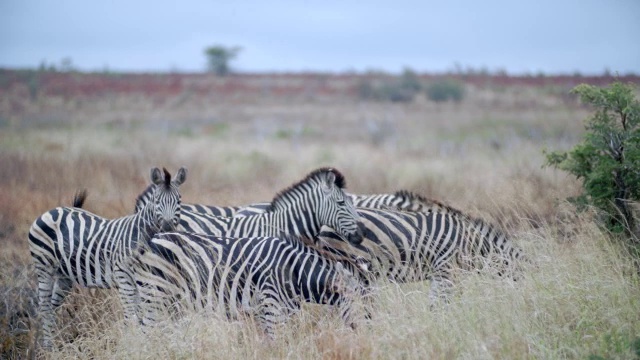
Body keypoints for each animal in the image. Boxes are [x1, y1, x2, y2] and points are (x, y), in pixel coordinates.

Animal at [28, 167, 188, 348]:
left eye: (179, 200)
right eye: (157, 201)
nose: (167, 227)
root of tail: (53, 210)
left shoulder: (145, 280)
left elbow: (142, 315)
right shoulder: (123, 276)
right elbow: (131, 317)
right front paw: (132, 344)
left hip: (64, 275)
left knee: (53, 305)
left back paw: (56, 343)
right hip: (43, 266)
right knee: (44, 306)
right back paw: (48, 347)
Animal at [131, 231, 364, 338]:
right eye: (361, 301)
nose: (367, 332)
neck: (295, 271)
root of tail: (152, 239)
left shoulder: (274, 313)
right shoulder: (271, 308)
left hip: (170, 303)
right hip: (156, 295)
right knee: (147, 333)